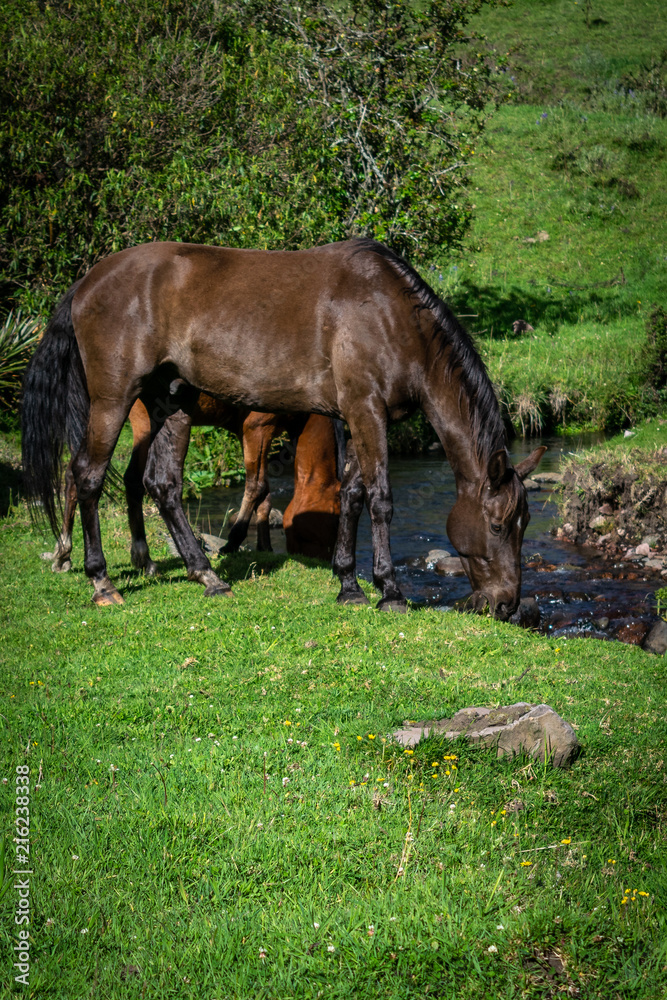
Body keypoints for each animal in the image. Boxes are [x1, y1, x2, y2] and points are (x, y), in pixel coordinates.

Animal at [43, 396, 342, 574]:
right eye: (332, 521)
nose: (326, 560)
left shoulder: (252, 433)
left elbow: (266, 495)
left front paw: (264, 546)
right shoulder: (258, 427)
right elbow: (256, 487)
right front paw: (232, 542)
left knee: (76, 474)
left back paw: (65, 552)